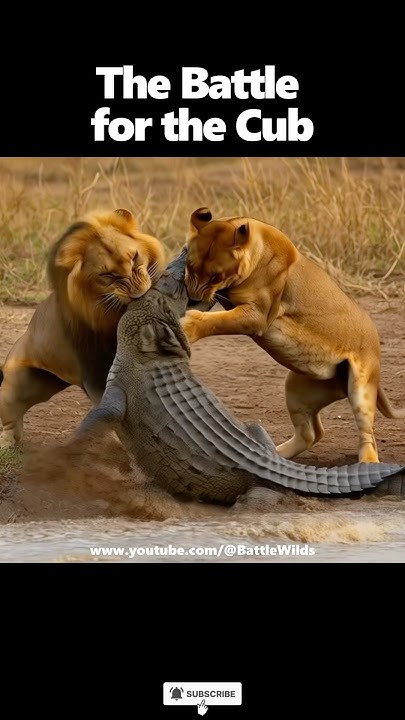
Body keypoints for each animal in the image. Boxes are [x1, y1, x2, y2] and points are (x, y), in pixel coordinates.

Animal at [0, 208, 166, 447]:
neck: (114, 314)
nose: (137, 291)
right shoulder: (94, 371)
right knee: (10, 417)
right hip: (15, 384)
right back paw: (7, 444)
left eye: (134, 257)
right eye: (108, 275)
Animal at [181, 206, 405, 464]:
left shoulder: (258, 316)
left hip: (361, 387)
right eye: (189, 266)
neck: (258, 248)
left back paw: (367, 462)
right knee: (312, 433)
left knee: (367, 434)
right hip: (297, 388)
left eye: (215, 276)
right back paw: (275, 454)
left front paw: (188, 326)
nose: (193, 296)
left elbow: (217, 321)